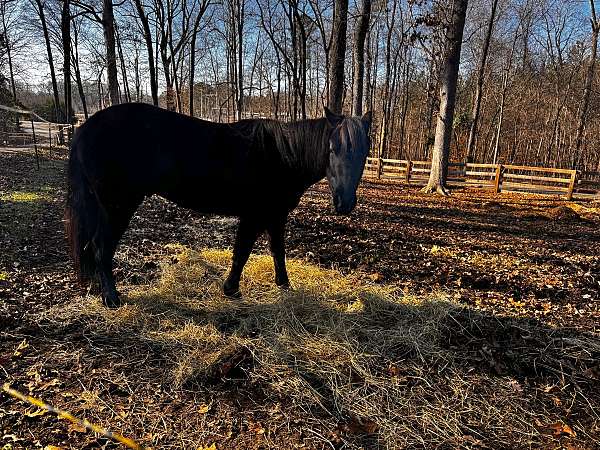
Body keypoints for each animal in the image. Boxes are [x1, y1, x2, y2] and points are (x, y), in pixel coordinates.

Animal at [67, 102, 370, 308]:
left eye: (365, 152)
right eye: (331, 148)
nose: (344, 203)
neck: (283, 154)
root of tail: (84, 128)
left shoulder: (276, 215)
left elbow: (277, 252)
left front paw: (284, 286)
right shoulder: (254, 215)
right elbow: (242, 253)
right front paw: (231, 289)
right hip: (117, 207)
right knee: (100, 246)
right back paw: (111, 297)